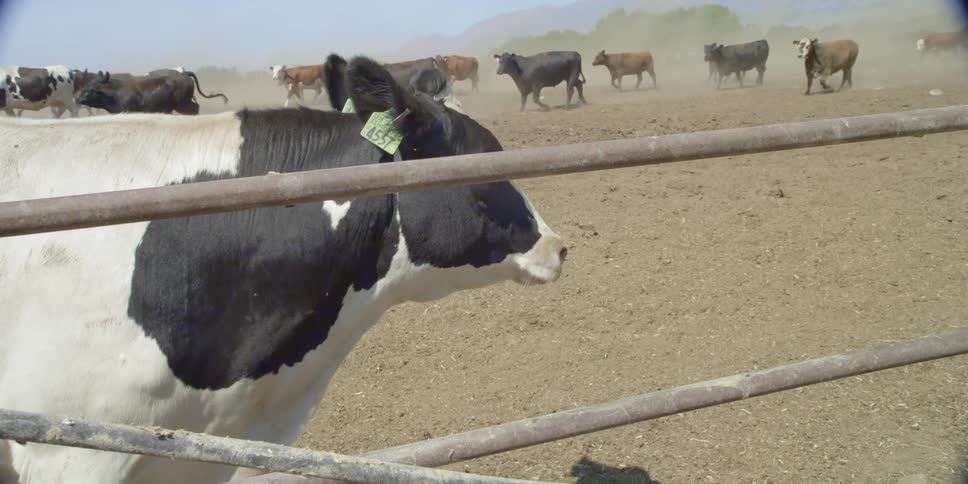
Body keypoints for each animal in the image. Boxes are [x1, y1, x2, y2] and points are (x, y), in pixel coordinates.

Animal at [77, 68, 228, 114]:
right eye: (85, 86)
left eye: (91, 89)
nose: (77, 99)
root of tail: (184, 73)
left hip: (183, 104)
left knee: (195, 108)